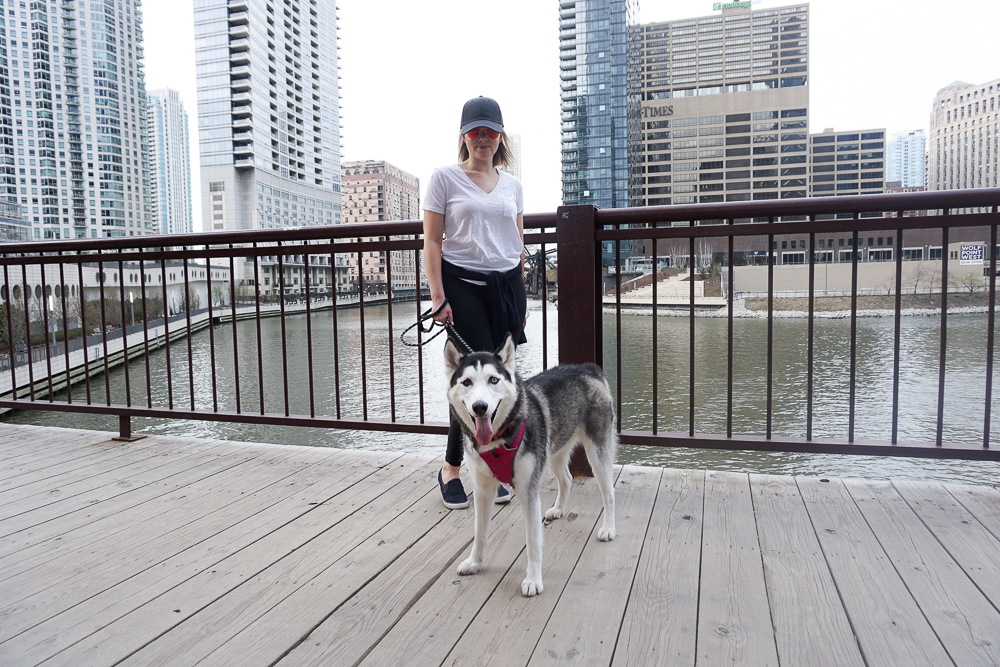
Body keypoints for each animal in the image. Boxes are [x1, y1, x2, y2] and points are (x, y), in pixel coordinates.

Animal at [446, 334, 616, 600]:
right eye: (466, 382)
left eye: (493, 380)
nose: (480, 407)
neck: (498, 440)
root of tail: (588, 368)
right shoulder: (483, 491)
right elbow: (479, 533)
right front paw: (475, 562)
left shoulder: (528, 491)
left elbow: (533, 541)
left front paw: (533, 580)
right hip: (554, 450)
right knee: (567, 479)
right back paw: (558, 509)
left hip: (596, 453)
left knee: (608, 491)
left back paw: (608, 528)